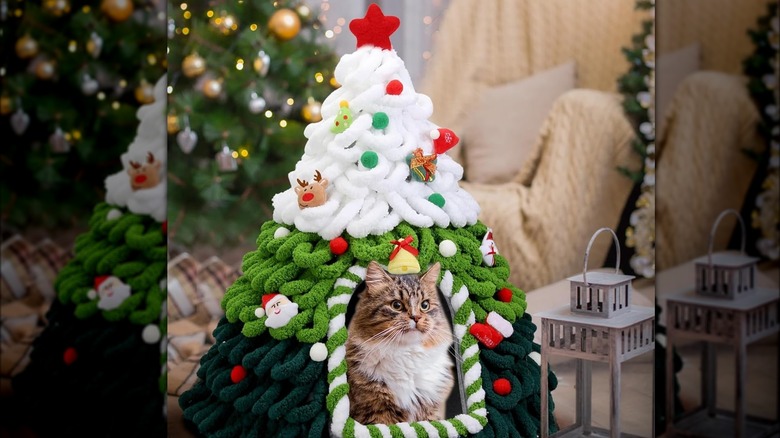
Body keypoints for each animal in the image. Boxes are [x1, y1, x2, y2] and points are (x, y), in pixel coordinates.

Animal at [344, 260, 454, 424]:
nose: (416, 317)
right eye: (396, 305)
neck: (406, 354)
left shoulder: (430, 410)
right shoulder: (376, 411)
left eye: (425, 305)